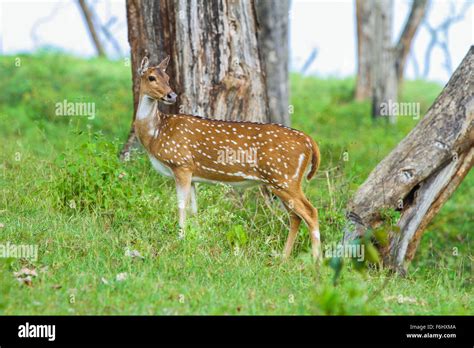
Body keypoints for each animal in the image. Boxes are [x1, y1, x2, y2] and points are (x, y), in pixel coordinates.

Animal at [131, 55, 322, 260]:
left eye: (167, 77)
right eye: (152, 77)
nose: (171, 95)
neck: (156, 134)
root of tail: (310, 142)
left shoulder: (180, 163)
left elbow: (181, 205)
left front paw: (180, 238)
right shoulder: (191, 172)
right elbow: (194, 208)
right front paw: (196, 238)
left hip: (284, 178)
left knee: (310, 212)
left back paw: (315, 259)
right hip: (280, 181)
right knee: (295, 216)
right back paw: (284, 256)